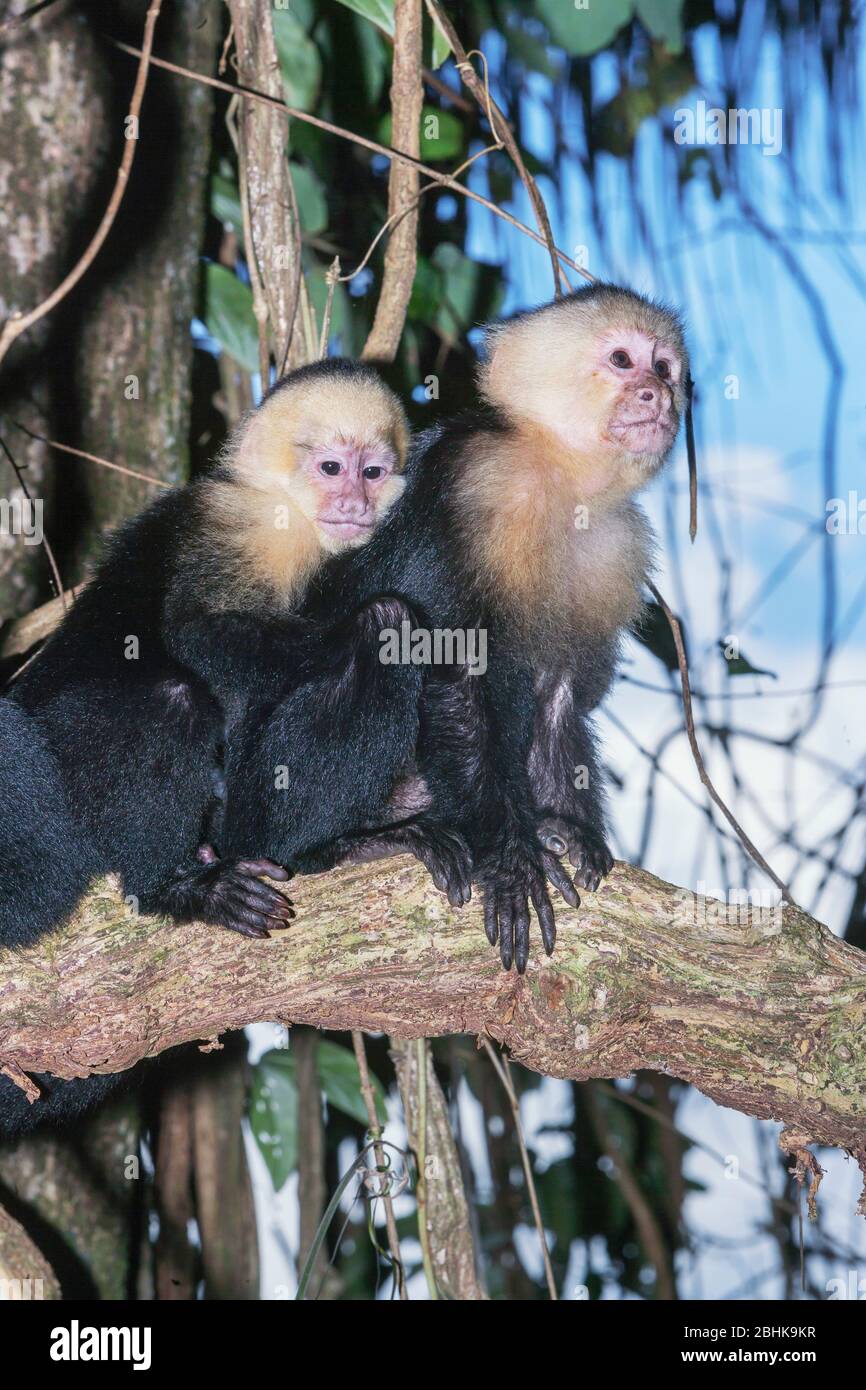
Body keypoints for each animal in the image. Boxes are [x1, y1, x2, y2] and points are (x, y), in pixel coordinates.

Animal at [223, 283, 692, 978]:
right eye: (621, 360)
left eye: (663, 368)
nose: (655, 394)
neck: (560, 477)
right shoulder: (471, 481)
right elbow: (453, 673)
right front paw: (511, 858)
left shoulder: (619, 549)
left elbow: (558, 695)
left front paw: (566, 829)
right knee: (384, 632)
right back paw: (335, 847)